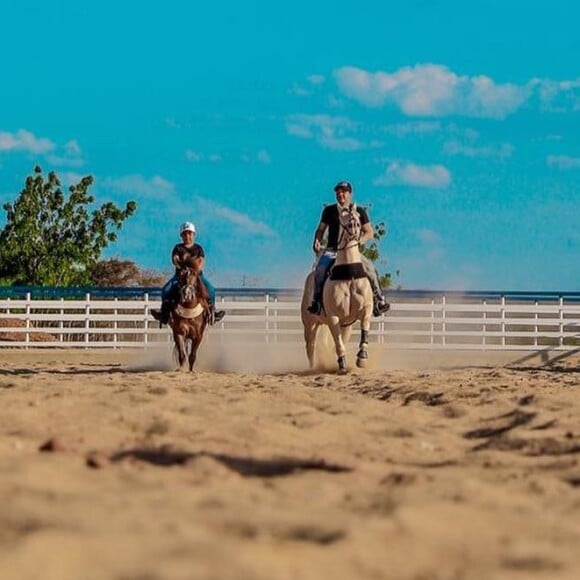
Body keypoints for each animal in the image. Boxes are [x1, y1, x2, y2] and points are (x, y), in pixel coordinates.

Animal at [302, 204, 374, 376]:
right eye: (343, 217)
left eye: (358, 216)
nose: (354, 226)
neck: (348, 275)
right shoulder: (333, 317)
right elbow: (338, 343)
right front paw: (342, 365)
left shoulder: (365, 309)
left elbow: (364, 330)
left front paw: (362, 357)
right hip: (309, 324)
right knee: (311, 346)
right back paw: (313, 368)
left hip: (346, 325)